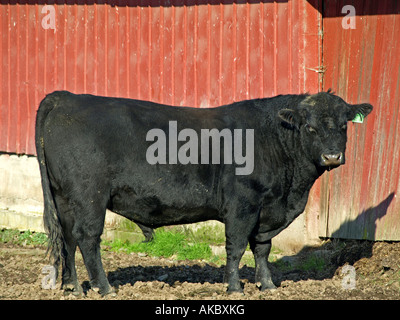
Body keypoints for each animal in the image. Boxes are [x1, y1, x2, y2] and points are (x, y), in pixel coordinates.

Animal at [34, 90, 372, 296]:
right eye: (310, 128)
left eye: (344, 126)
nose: (332, 156)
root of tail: (66, 98)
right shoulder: (243, 206)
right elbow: (236, 247)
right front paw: (234, 288)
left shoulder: (267, 211)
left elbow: (262, 249)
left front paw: (267, 285)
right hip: (89, 196)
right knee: (87, 238)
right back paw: (104, 287)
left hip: (64, 198)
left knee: (67, 238)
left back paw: (72, 286)